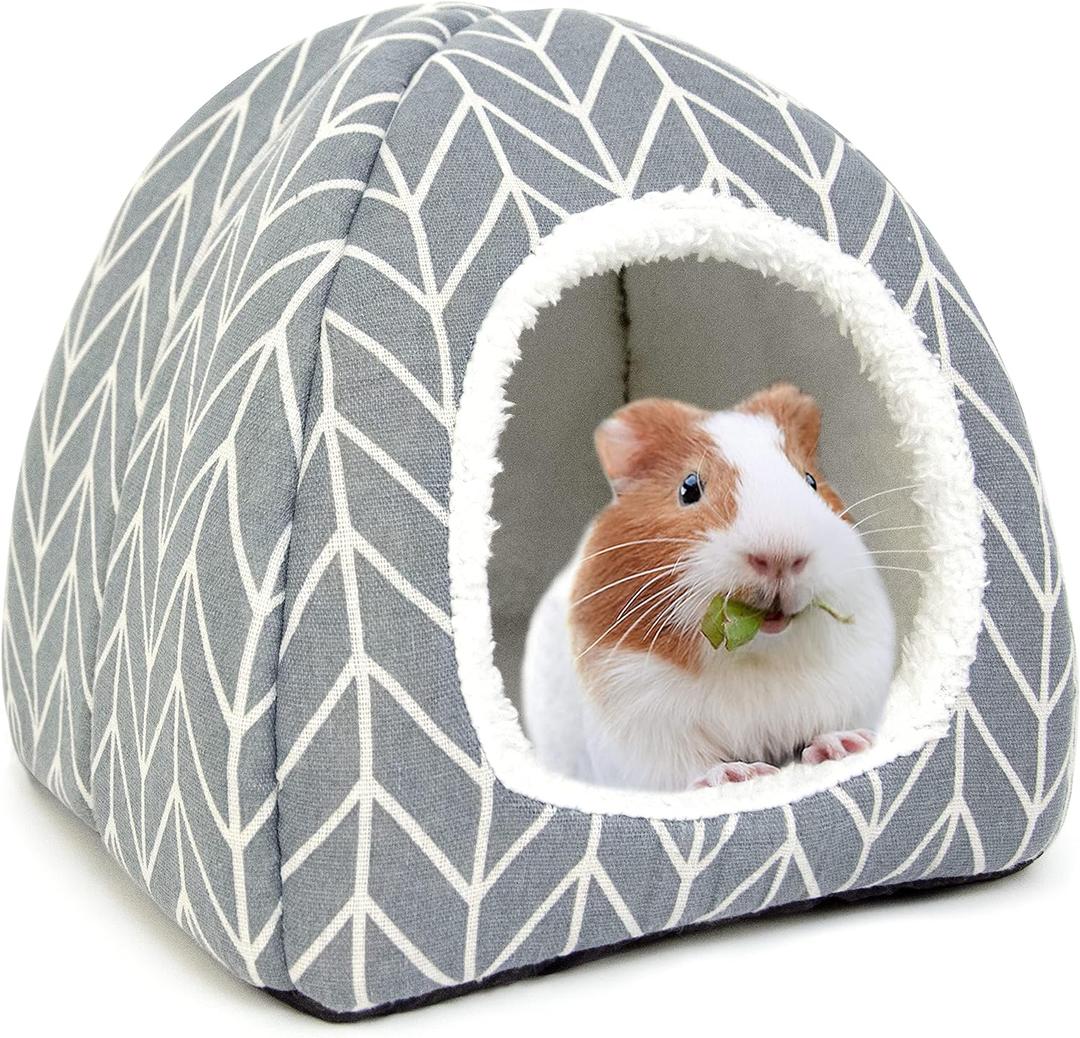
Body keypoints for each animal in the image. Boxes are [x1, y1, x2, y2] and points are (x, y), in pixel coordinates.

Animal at [520, 384, 896, 792]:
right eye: (689, 488)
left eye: (810, 481)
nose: (781, 556)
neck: (755, 658)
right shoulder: (642, 727)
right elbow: (691, 768)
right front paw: (740, 775)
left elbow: (827, 727)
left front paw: (847, 745)